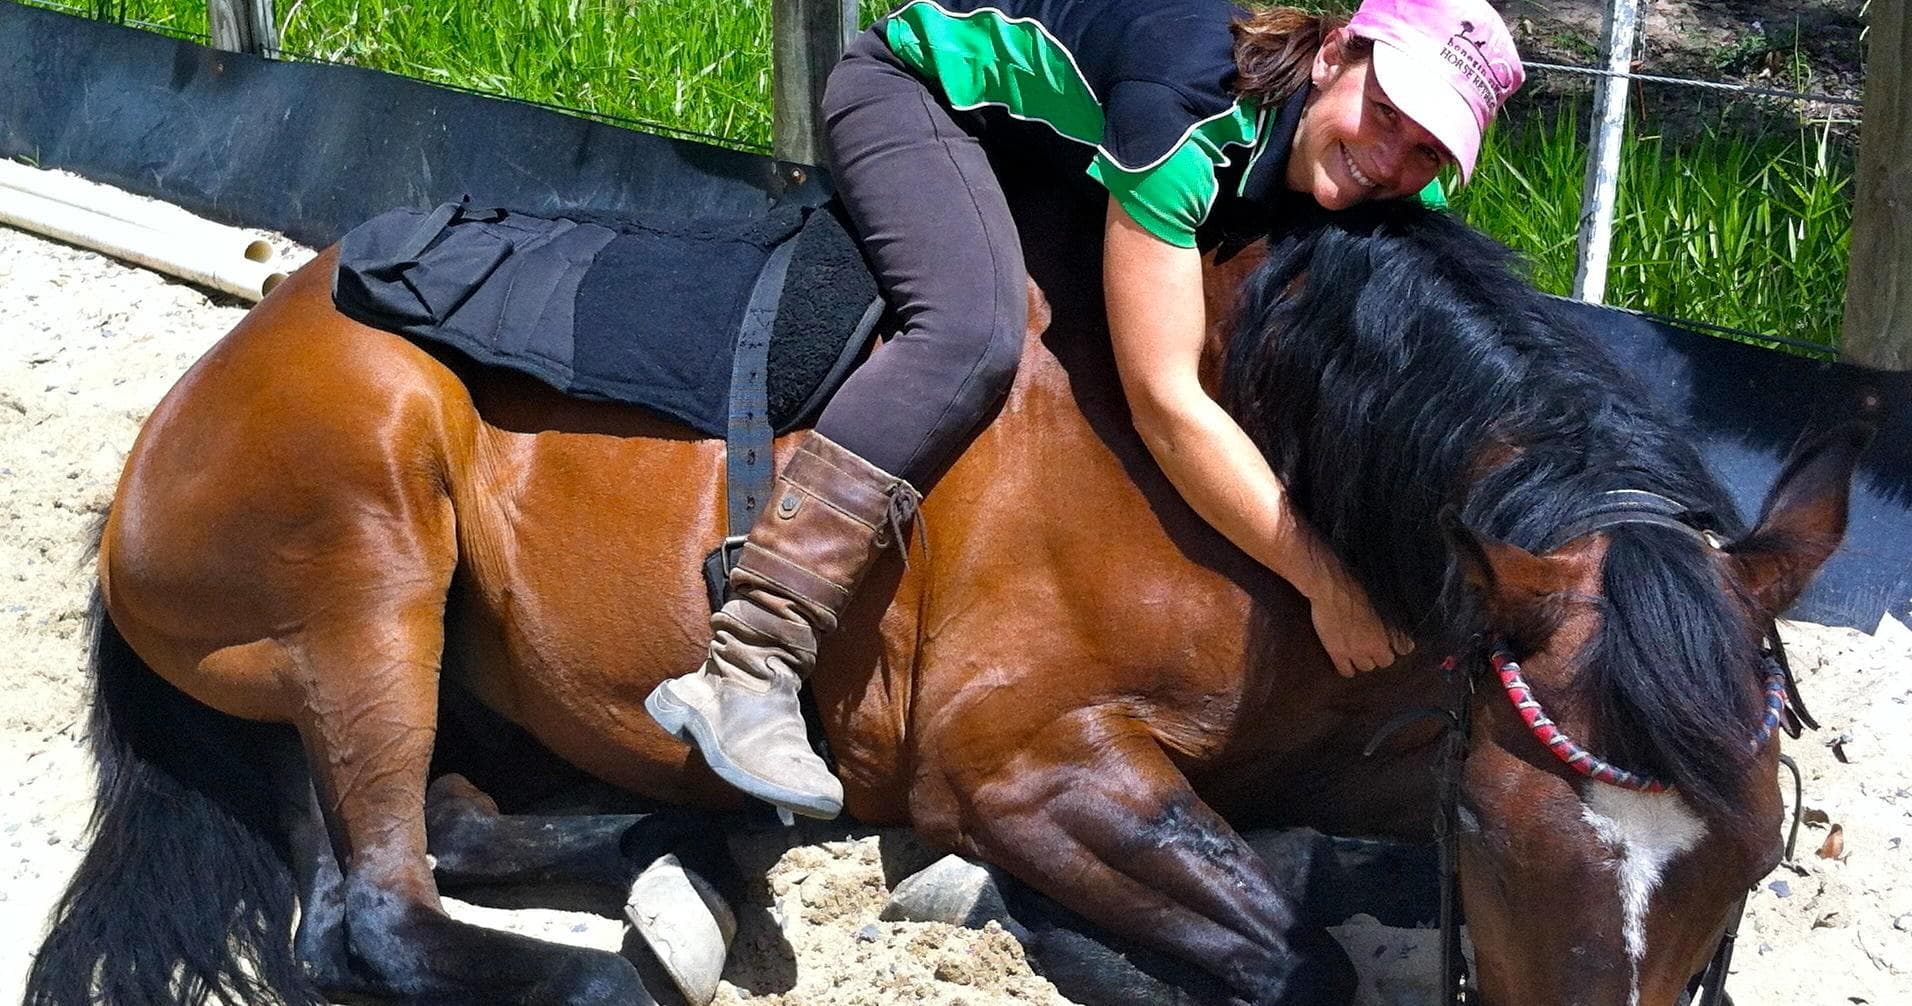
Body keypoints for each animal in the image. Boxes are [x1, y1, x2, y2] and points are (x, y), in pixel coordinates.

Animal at [25, 186, 1862, 1006]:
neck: (1268, 453)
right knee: (370, 912)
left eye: (1758, 857)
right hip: (369, 561)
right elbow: (1292, 957)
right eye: (1496, 835)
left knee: (455, 820)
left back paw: (695, 845)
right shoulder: (1024, 763)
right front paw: (1032, 913)